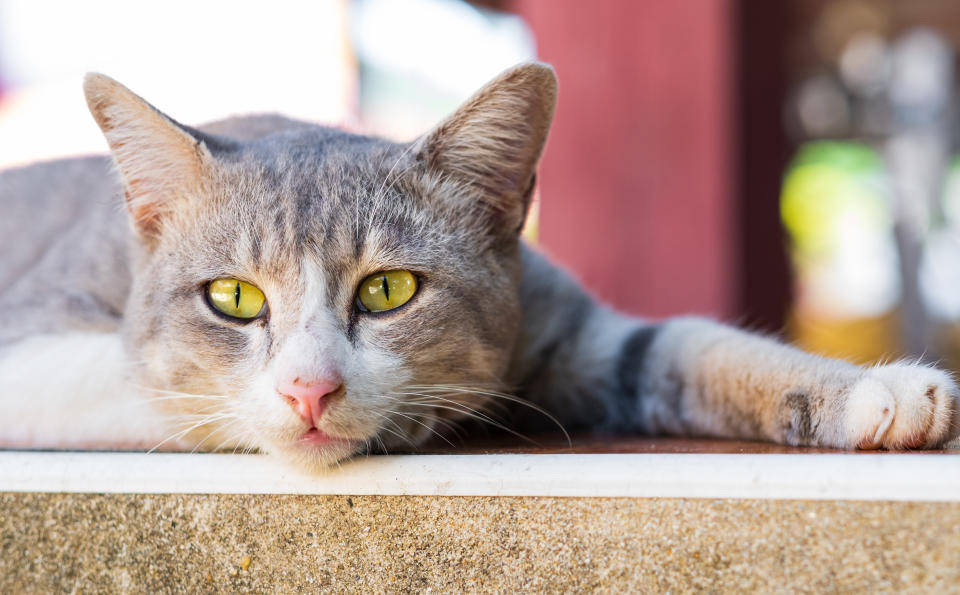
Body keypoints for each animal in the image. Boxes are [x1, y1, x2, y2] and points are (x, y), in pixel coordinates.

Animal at [0, 62, 956, 472]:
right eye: (233, 297)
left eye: (387, 289)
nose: (310, 390)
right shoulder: (34, 348)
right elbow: (174, 393)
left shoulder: (572, 326)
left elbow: (699, 345)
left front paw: (877, 394)